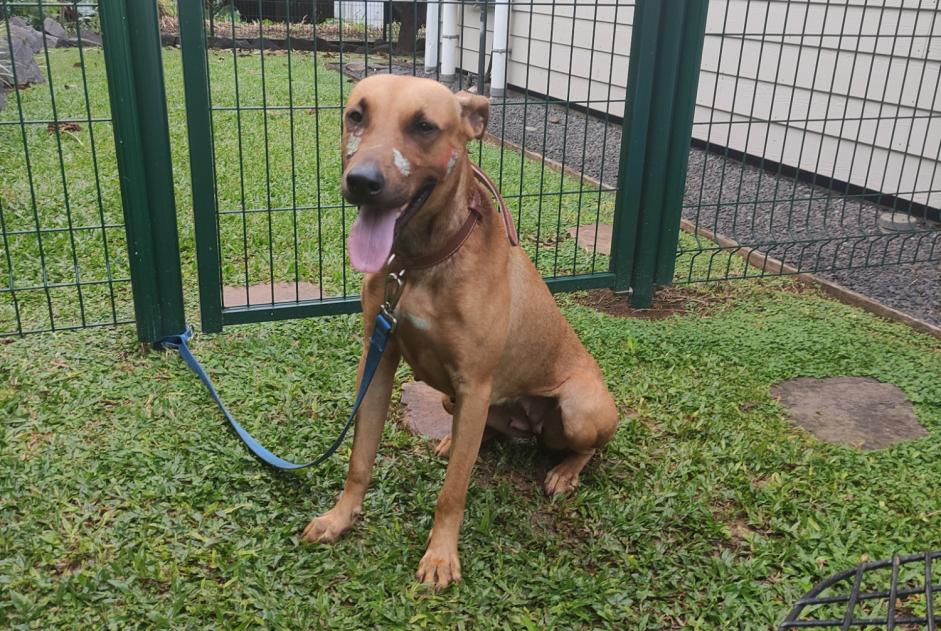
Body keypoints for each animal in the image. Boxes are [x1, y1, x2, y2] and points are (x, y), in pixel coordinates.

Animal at [302, 76, 620, 592]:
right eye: (356, 115)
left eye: (425, 126)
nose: (362, 182)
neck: (419, 262)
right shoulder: (378, 362)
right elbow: (359, 460)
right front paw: (340, 517)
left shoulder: (475, 383)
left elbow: (452, 492)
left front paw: (440, 556)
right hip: (456, 401)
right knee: (479, 435)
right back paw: (454, 442)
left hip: (578, 408)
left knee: (587, 446)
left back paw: (564, 472)